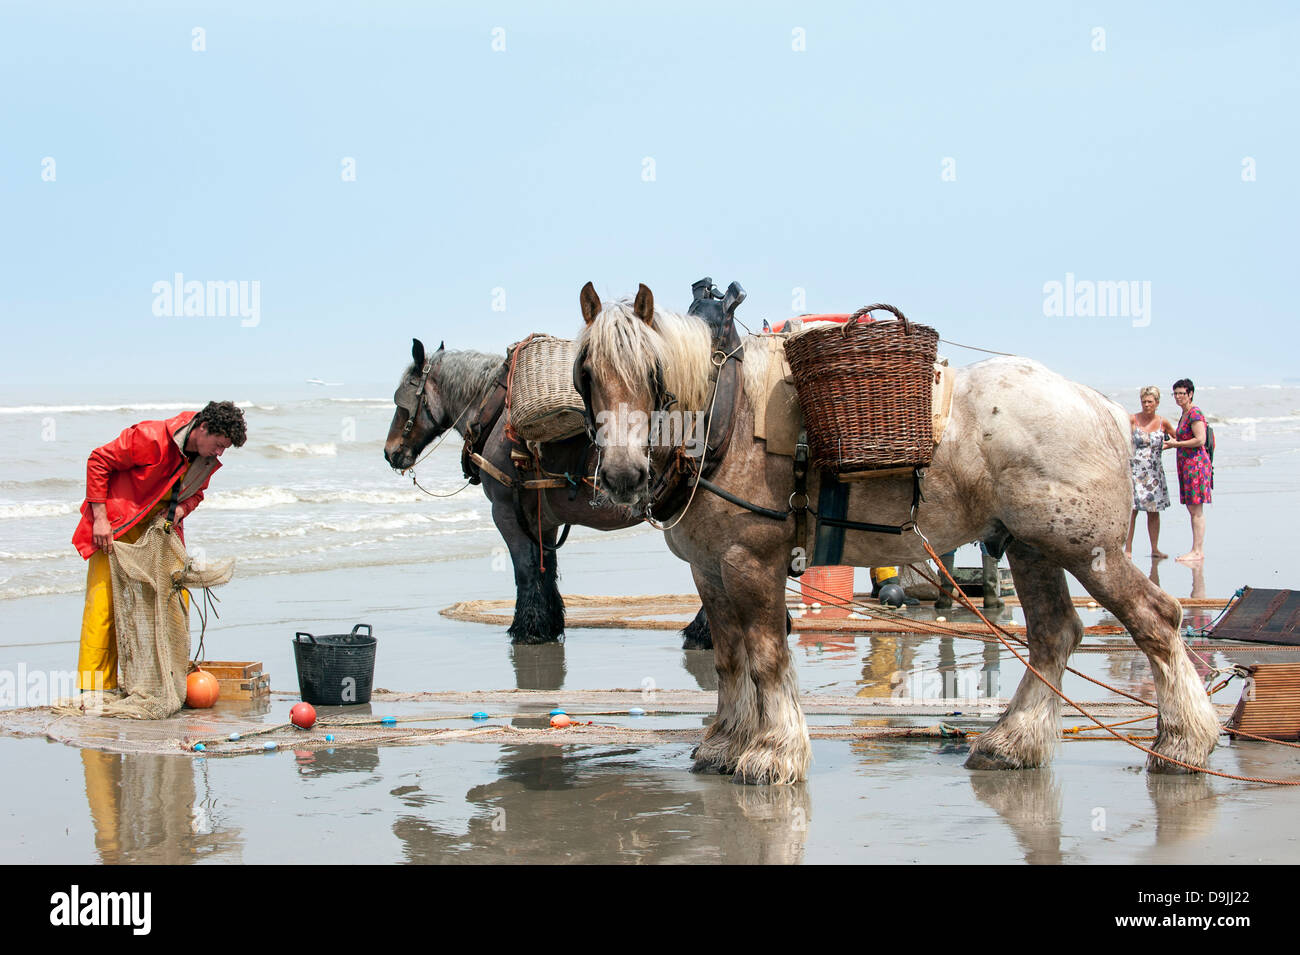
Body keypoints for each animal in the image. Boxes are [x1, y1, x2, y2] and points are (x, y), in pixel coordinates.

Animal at [383, 337, 711, 647]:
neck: (494, 413)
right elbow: (546, 568)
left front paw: (527, 629)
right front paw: (548, 624)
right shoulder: (544, 520)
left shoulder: (505, 513)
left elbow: (525, 570)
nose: (389, 452)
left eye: (401, 399)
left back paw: (701, 632)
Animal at [573, 282, 1221, 785]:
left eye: (652, 372)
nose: (623, 474)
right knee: (1055, 634)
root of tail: (1100, 406)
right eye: (587, 375)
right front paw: (727, 743)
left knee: (1155, 619)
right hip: (1032, 547)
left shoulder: (750, 563)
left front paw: (773, 751)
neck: (725, 419)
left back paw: (1182, 741)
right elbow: (731, 658)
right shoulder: (709, 569)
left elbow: (766, 657)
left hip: (1088, 550)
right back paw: (1013, 741)